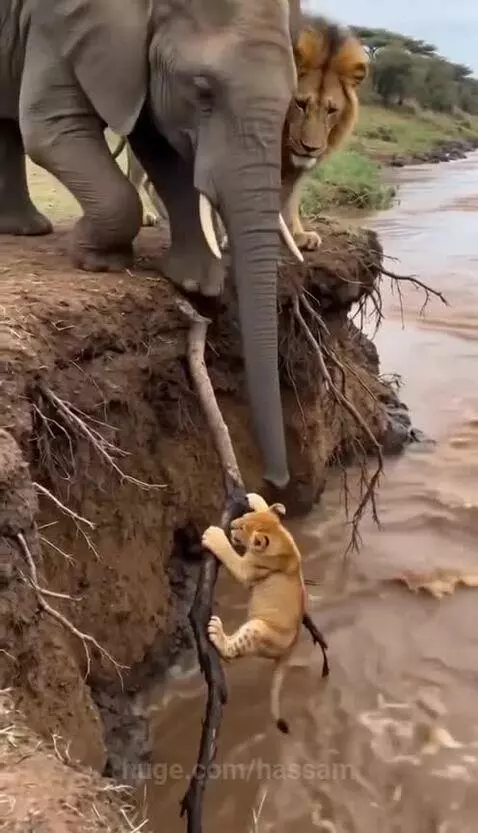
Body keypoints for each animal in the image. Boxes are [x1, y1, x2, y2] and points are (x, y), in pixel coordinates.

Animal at [0, 0, 302, 491]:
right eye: (203, 89)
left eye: (296, 100)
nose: (276, 482)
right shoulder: (58, 24)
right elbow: (51, 130)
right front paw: (98, 259)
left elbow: (163, 148)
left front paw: (196, 285)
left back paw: (26, 230)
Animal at [202, 492, 311, 734]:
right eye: (244, 518)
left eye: (241, 528)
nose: (232, 525)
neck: (281, 540)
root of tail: (289, 651)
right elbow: (266, 509)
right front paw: (256, 498)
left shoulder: (246, 569)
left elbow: (229, 554)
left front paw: (213, 535)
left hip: (258, 628)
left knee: (232, 652)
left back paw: (217, 632)